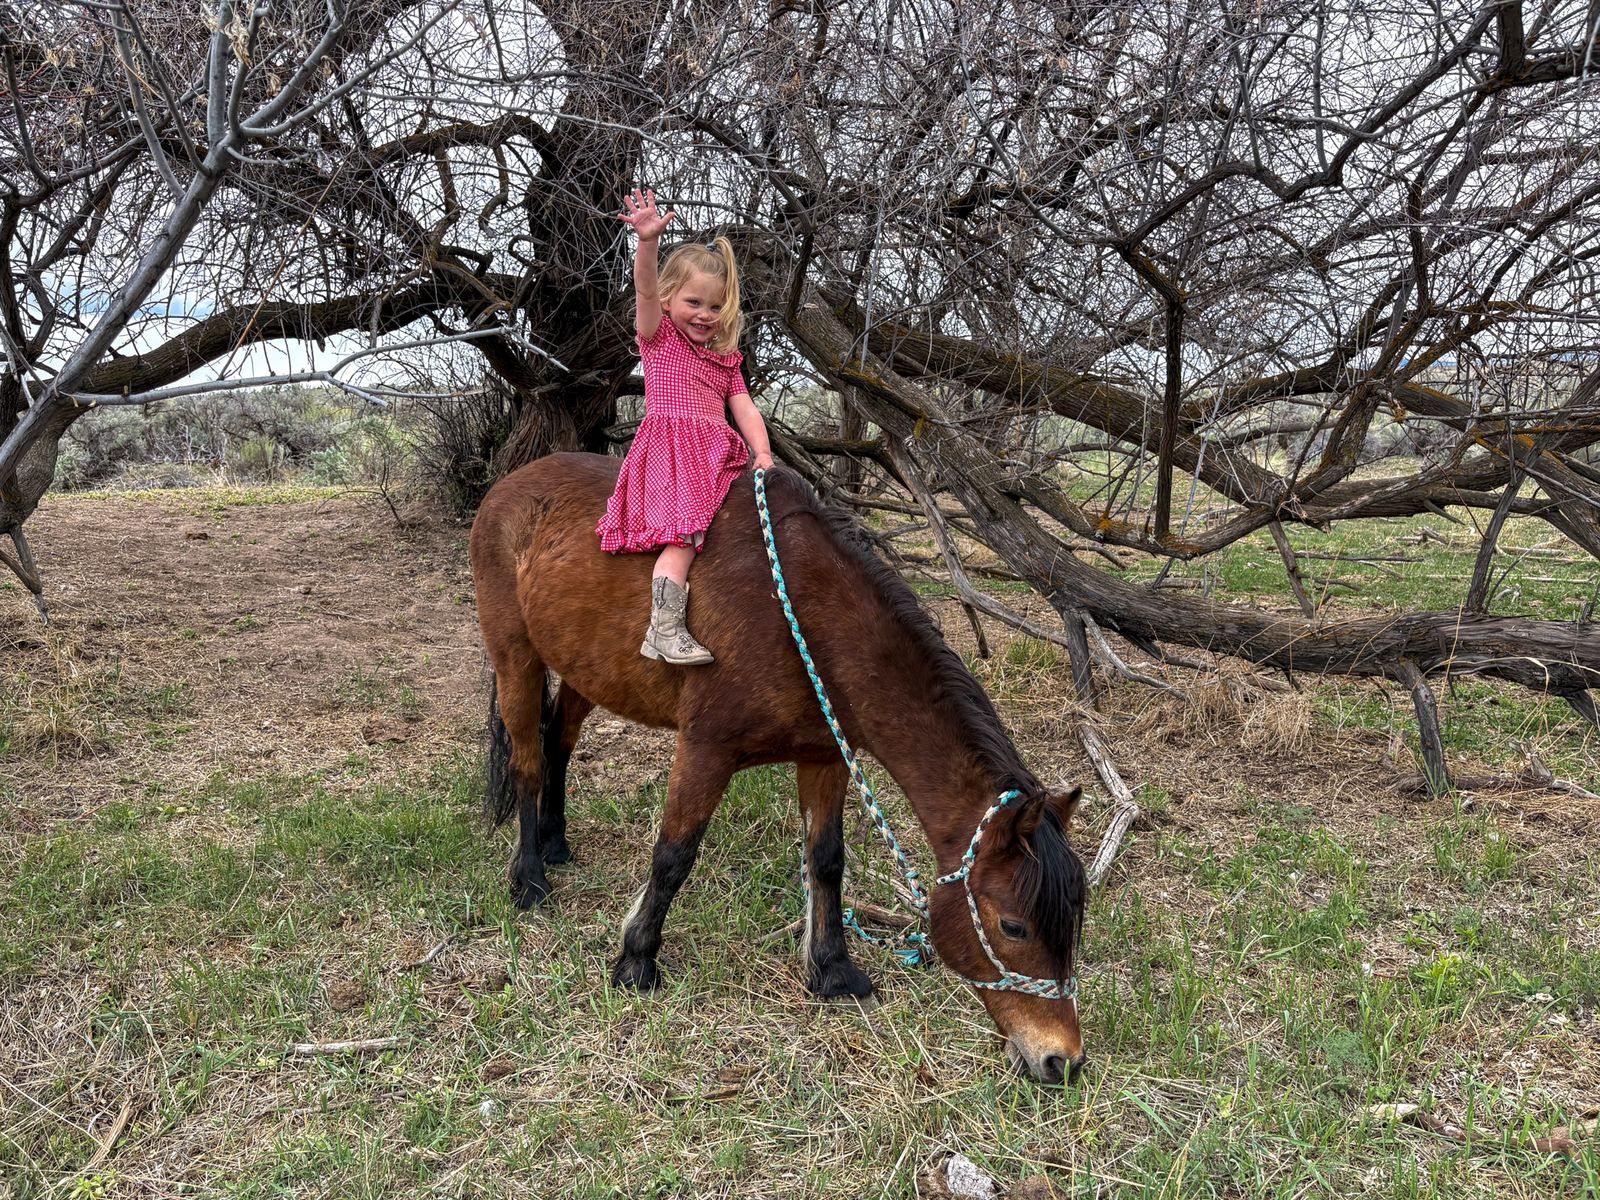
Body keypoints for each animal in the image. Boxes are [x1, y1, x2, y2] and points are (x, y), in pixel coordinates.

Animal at [469, 452, 1089, 1084]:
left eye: (1075, 919)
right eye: (1013, 926)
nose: (1062, 1059)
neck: (806, 619)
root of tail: (510, 485)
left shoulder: (825, 755)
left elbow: (827, 861)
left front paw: (833, 969)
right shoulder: (705, 749)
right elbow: (673, 855)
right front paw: (637, 959)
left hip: (581, 666)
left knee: (558, 744)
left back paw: (555, 843)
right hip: (515, 652)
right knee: (527, 762)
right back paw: (530, 879)